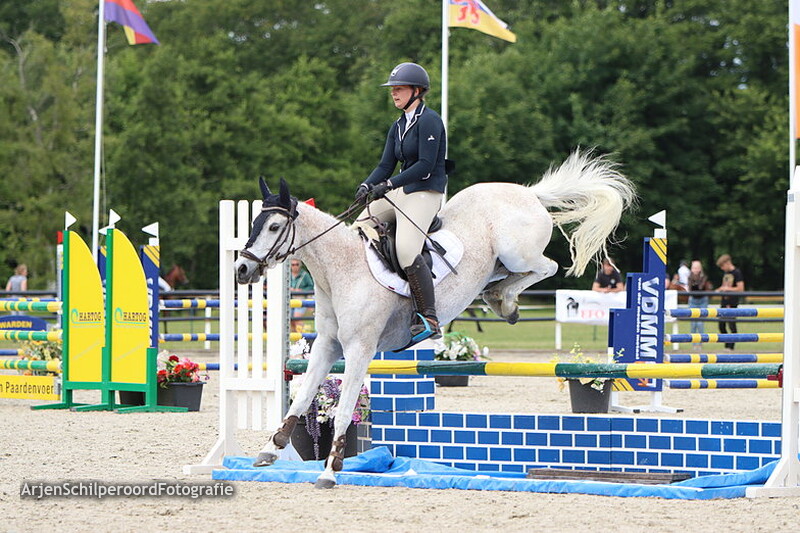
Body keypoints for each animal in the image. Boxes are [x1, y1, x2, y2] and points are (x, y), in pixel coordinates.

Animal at [234, 150, 636, 488]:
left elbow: (345, 409)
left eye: (274, 228)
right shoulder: (327, 347)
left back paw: (504, 301)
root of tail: (527, 192)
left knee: (547, 266)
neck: (340, 270)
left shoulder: (360, 349)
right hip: (498, 262)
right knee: (508, 275)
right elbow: (301, 399)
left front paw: (330, 471)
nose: (241, 269)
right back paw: (499, 297)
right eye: (253, 223)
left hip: (517, 252)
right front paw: (270, 449)